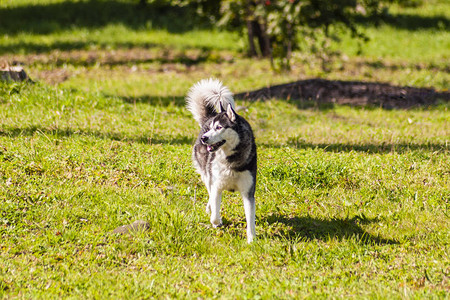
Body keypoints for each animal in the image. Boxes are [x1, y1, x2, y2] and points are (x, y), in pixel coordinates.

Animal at [186, 78, 256, 243]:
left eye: (219, 127)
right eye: (211, 128)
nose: (204, 138)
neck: (231, 160)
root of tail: (210, 116)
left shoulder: (248, 192)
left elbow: (250, 219)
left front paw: (252, 240)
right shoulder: (216, 185)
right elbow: (215, 215)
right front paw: (216, 222)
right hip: (207, 175)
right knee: (210, 193)